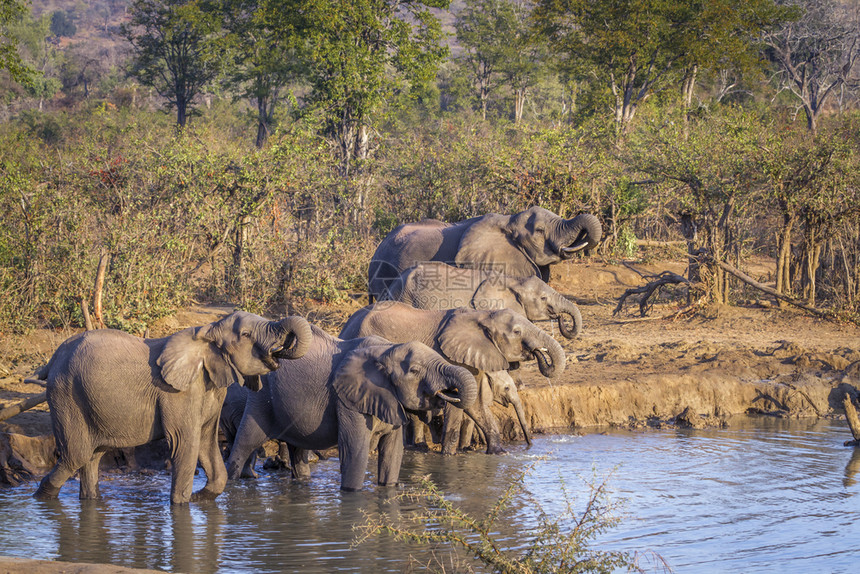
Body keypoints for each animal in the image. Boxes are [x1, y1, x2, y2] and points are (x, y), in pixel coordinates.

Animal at [31, 312, 312, 506]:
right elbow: (185, 444)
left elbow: (207, 443)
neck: (208, 333)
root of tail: (52, 360)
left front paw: (200, 498)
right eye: (245, 335)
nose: (281, 350)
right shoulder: (179, 394)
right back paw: (40, 499)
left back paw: (90, 501)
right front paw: (182, 505)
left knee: (93, 456)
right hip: (67, 394)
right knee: (76, 456)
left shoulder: (210, 389)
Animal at [223, 326, 478, 492]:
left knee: (298, 450)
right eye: (414, 370)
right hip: (262, 397)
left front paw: (388, 489)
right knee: (246, 441)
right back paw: (233, 482)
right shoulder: (347, 401)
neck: (386, 350)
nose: (447, 393)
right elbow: (355, 452)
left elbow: (393, 453)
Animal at [336, 304, 564, 456]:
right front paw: (448, 456)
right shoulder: (450, 358)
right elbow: (457, 402)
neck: (482, 315)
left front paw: (498, 453)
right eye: (517, 332)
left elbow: (475, 404)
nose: (529, 445)